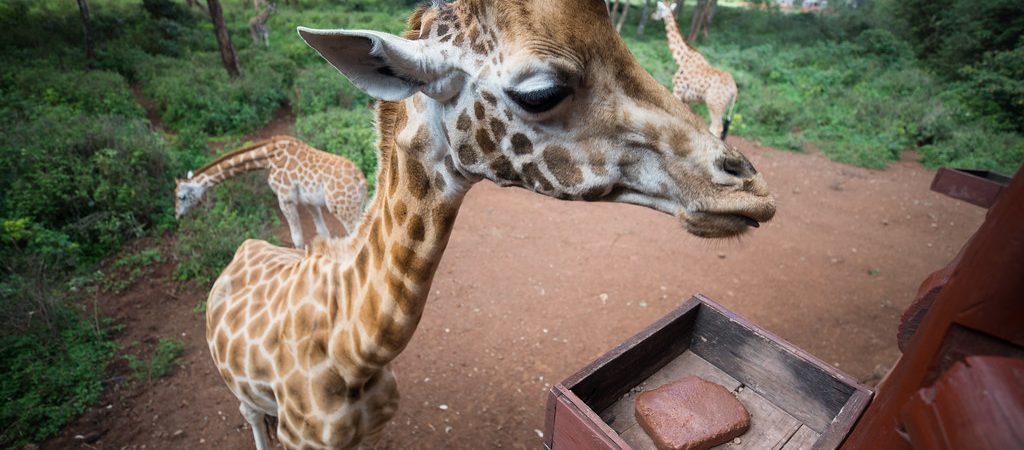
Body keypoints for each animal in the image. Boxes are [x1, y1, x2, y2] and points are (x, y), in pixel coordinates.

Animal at [175, 135, 367, 247]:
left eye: (181, 197)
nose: (178, 216)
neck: (267, 157)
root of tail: (362, 181)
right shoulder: (309, 200)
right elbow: (323, 233)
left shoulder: (285, 198)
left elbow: (297, 239)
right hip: (358, 206)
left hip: (344, 209)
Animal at [652, 1, 738, 140]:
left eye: (659, 8)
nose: (653, 16)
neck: (682, 58)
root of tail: (735, 90)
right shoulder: (686, 99)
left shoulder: (678, 90)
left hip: (714, 104)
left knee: (716, 128)